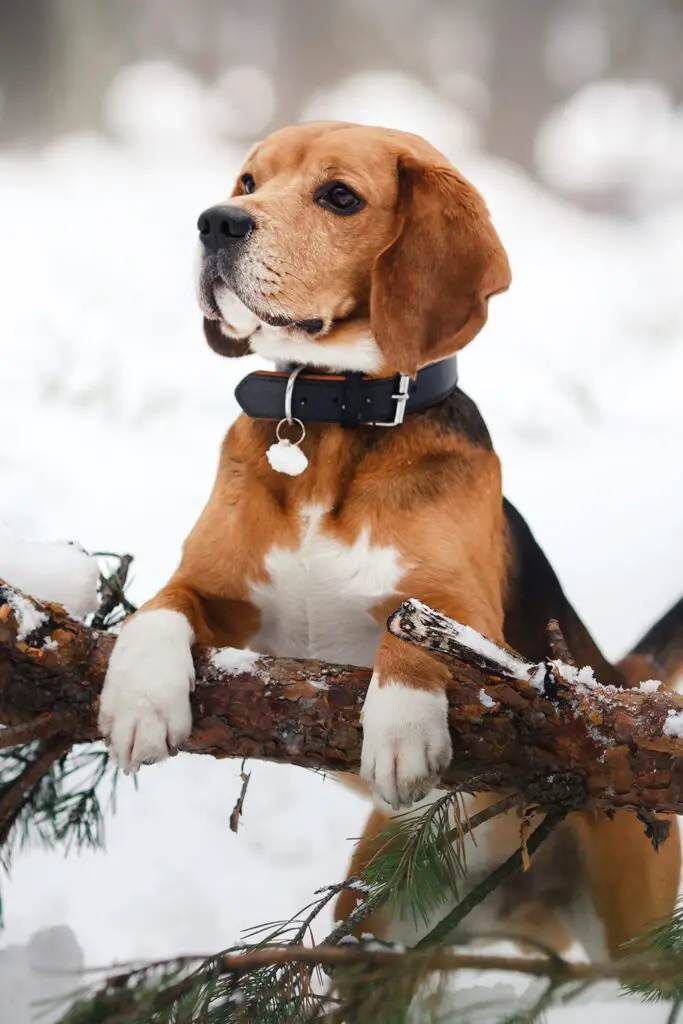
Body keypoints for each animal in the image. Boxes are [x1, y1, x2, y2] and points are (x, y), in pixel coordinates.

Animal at [98, 119, 679, 958]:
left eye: (340, 197)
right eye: (248, 182)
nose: (215, 223)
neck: (329, 420)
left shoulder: (462, 610)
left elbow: (411, 633)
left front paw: (401, 726)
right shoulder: (209, 587)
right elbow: (155, 610)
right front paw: (139, 701)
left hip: (635, 927)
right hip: (371, 928)